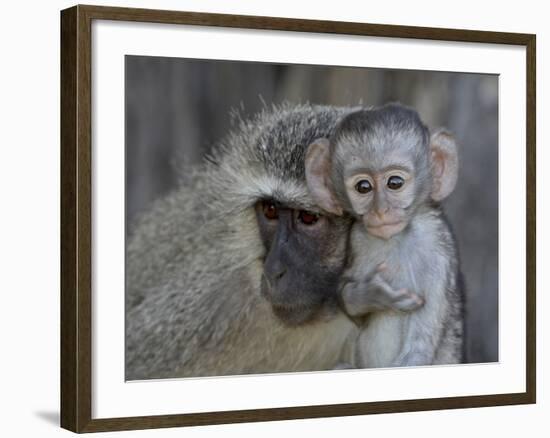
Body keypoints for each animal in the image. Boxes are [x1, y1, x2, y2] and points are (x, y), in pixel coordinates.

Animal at [306, 102, 466, 366]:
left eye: (395, 183)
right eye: (363, 187)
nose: (380, 211)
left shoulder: (436, 246)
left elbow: (420, 348)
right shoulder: (357, 239)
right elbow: (344, 293)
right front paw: (371, 295)